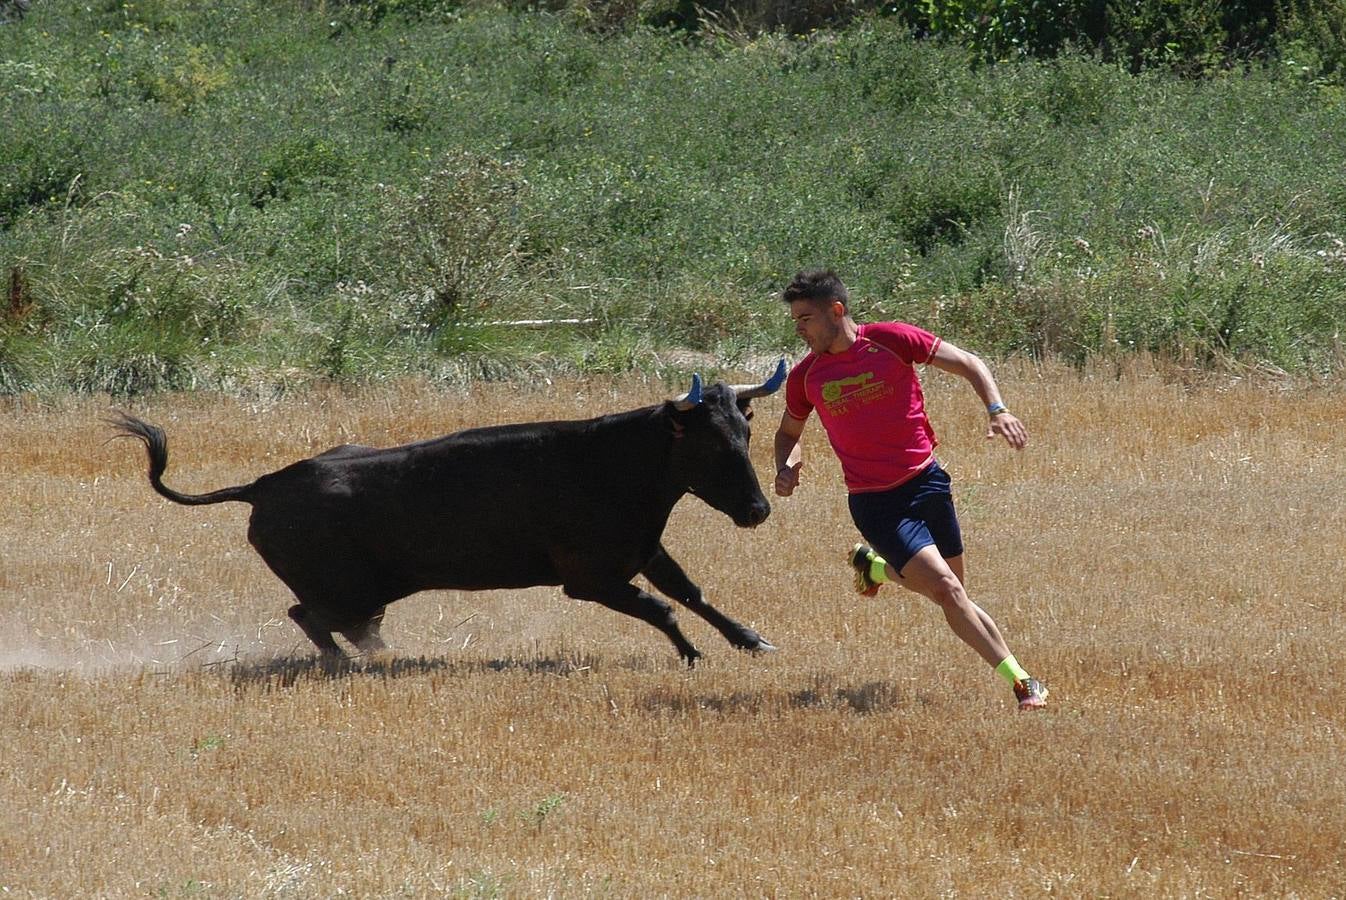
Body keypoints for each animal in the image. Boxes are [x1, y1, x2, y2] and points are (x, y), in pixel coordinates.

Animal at [115, 360, 791, 664]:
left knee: (348, 622)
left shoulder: (642, 550)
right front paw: (693, 656)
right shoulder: (590, 578)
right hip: (348, 586)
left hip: (368, 590)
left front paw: (751, 640)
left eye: (745, 432)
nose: (757, 509)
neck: (616, 461)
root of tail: (264, 485)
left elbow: (690, 591)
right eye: (710, 444)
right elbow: (662, 607)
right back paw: (349, 663)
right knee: (310, 614)